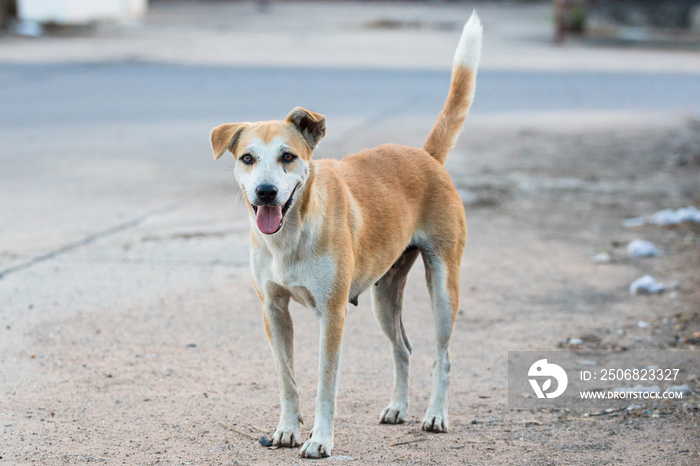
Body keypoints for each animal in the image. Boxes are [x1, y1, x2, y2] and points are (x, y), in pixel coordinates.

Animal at [208, 10, 482, 458]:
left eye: (288, 157)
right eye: (247, 158)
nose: (265, 192)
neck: (292, 234)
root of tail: (426, 156)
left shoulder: (331, 315)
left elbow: (325, 384)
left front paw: (320, 440)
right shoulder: (273, 311)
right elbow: (287, 379)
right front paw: (287, 429)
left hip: (443, 287)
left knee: (442, 355)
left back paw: (435, 415)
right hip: (383, 297)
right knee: (403, 348)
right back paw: (397, 407)